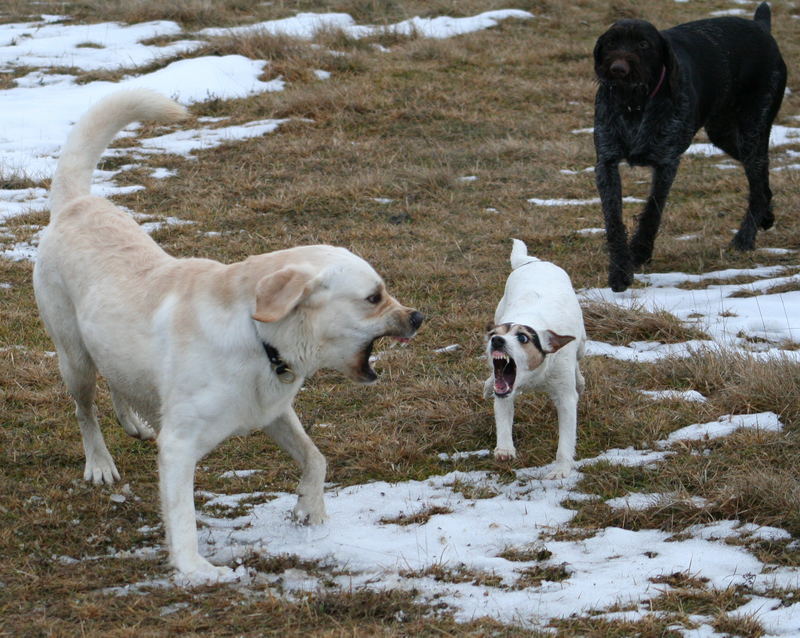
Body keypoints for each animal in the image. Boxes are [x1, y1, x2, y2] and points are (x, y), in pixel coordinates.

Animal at [34, 90, 424, 584]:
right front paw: (195, 569)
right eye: (374, 297)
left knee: (119, 383)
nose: (418, 317)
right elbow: (181, 515)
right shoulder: (179, 447)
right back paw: (100, 464)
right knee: (85, 410)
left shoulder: (274, 411)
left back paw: (133, 423)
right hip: (73, 358)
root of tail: (76, 204)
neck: (257, 336)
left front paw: (310, 509)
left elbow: (315, 457)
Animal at [592, 1, 788, 292]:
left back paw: (744, 239)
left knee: (757, 184)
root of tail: (761, 28)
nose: (618, 69)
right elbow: (614, 220)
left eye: (643, 45)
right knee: (762, 177)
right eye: (611, 43)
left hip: (753, 128)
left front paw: (640, 252)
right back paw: (766, 216)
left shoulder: (666, 161)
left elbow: (652, 210)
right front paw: (619, 271)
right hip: (724, 133)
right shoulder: (606, 162)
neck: (634, 105)